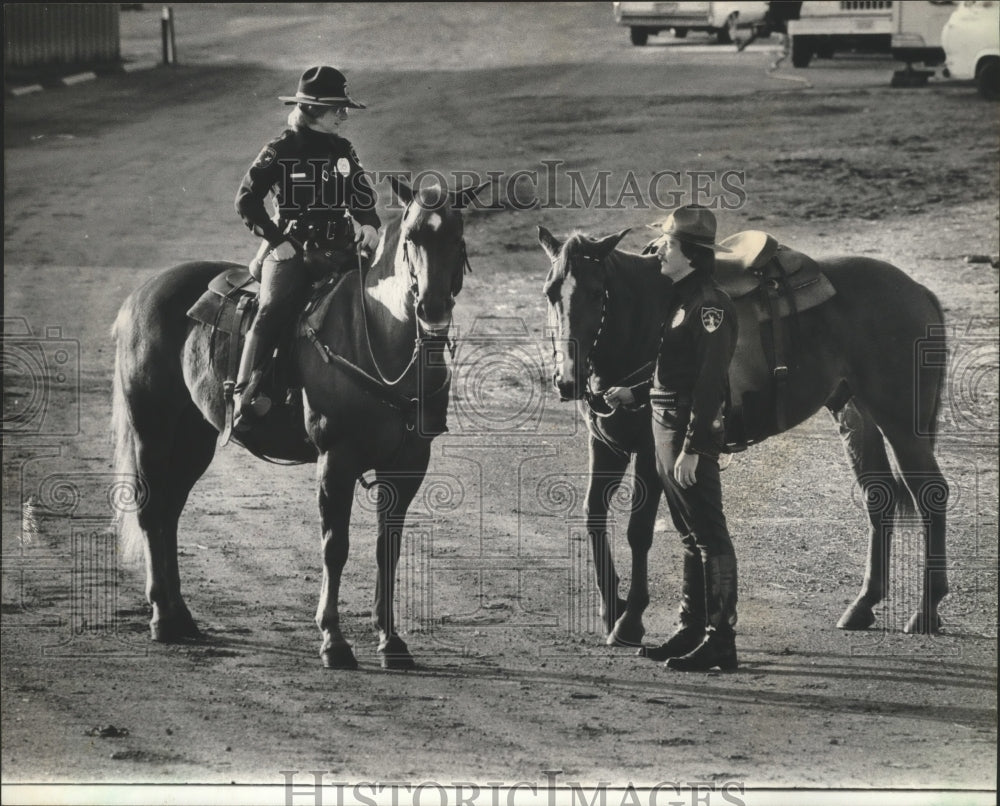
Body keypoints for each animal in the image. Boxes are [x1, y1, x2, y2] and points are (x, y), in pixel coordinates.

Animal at [113, 180, 488, 672]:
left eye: (458, 239)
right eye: (411, 237)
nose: (432, 310)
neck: (378, 337)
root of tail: (140, 295)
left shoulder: (408, 464)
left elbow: (387, 549)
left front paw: (391, 641)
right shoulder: (336, 458)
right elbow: (335, 546)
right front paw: (333, 640)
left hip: (195, 438)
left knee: (170, 512)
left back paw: (181, 618)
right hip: (151, 429)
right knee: (151, 508)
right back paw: (161, 618)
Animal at [544, 224, 948, 648]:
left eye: (596, 292)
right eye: (551, 291)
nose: (566, 380)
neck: (647, 321)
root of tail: (917, 289)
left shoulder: (651, 452)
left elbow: (638, 532)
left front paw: (630, 620)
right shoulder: (606, 445)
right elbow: (593, 515)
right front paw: (611, 609)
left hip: (901, 424)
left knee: (931, 494)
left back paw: (926, 610)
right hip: (856, 416)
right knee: (879, 497)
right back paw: (863, 604)